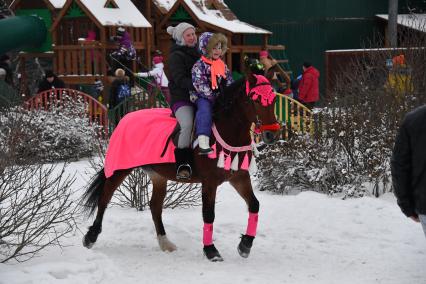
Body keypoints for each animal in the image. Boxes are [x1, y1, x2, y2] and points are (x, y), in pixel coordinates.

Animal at [81, 72, 282, 262]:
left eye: (273, 99)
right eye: (256, 99)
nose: (271, 134)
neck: (227, 130)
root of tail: (126, 117)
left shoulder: (239, 177)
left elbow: (254, 205)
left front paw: (245, 245)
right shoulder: (209, 182)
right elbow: (208, 214)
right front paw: (211, 251)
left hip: (159, 176)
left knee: (155, 206)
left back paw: (165, 242)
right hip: (120, 169)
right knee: (104, 198)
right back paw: (91, 237)